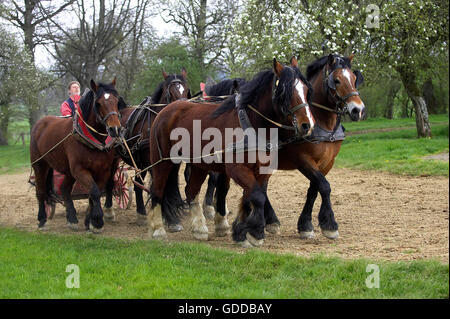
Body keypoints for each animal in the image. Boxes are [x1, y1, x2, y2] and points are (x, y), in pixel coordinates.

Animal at [30, 77, 123, 232]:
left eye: (116, 101)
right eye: (98, 103)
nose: (115, 129)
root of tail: (40, 123)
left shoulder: (103, 171)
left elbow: (94, 193)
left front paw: (89, 221)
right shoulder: (80, 169)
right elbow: (95, 192)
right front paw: (97, 221)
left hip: (67, 171)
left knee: (64, 189)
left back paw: (72, 219)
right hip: (40, 165)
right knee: (41, 191)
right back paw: (42, 220)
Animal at [108, 69, 191, 226]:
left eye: (186, 90)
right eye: (170, 93)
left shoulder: (173, 162)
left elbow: (171, 184)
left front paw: (171, 214)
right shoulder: (153, 163)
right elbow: (160, 185)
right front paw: (169, 218)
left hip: (139, 164)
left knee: (137, 184)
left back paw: (141, 213)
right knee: (110, 181)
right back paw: (108, 210)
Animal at [149, 57, 314, 245]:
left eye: (306, 89)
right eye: (285, 92)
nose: (307, 125)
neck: (252, 125)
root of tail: (166, 110)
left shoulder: (261, 172)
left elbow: (250, 197)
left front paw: (240, 231)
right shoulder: (237, 169)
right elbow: (257, 196)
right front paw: (255, 233)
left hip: (199, 164)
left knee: (191, 190)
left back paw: (199, 228)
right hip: (162, 161)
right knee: (157, 189)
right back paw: (158, 230)